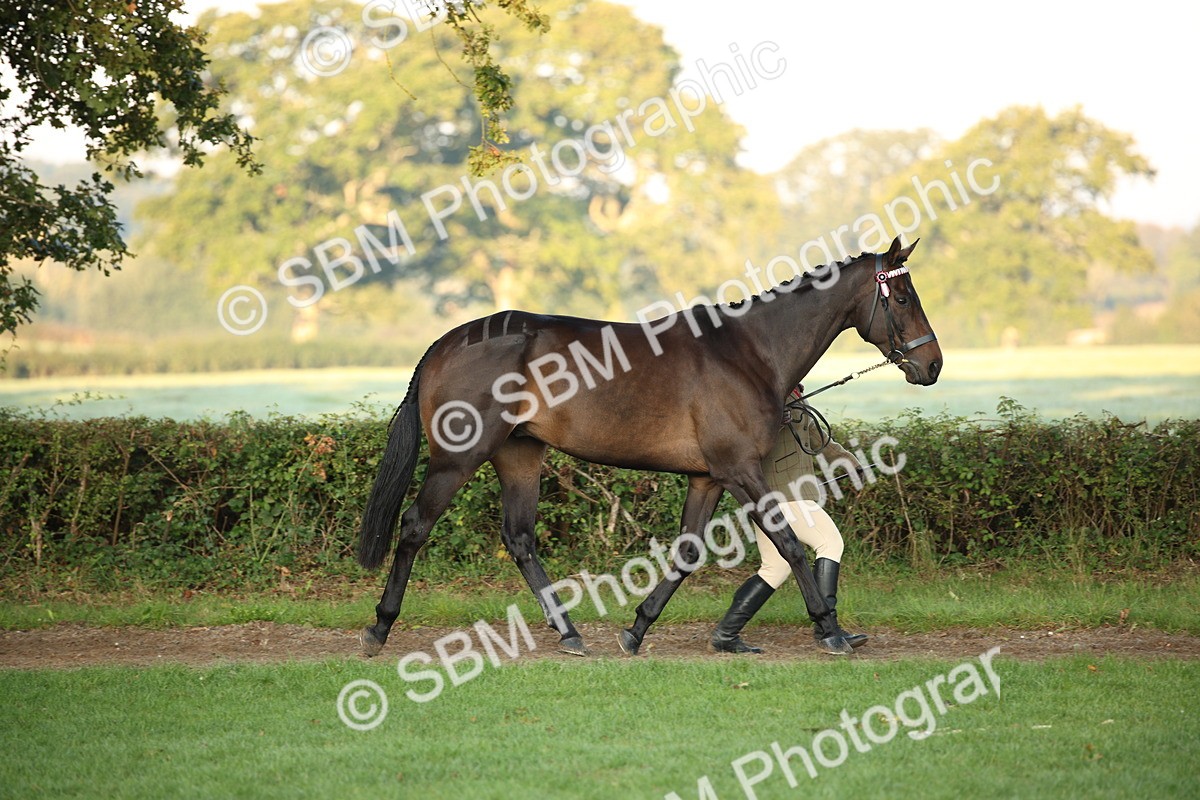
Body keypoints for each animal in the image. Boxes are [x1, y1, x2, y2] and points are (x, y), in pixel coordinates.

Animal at [356, 235, 942, 657]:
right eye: (903, 297)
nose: (932, 364)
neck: (748, 351)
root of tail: (446, 342)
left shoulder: (708, 477)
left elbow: (687, 552)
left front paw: (637, 628)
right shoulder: (740, 471)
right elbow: (791, 545)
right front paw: (830, 629)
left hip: (518, 454)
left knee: (520, 539)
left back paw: (570, 633)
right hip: (458, 458)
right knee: (415, 526)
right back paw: (379, 627)